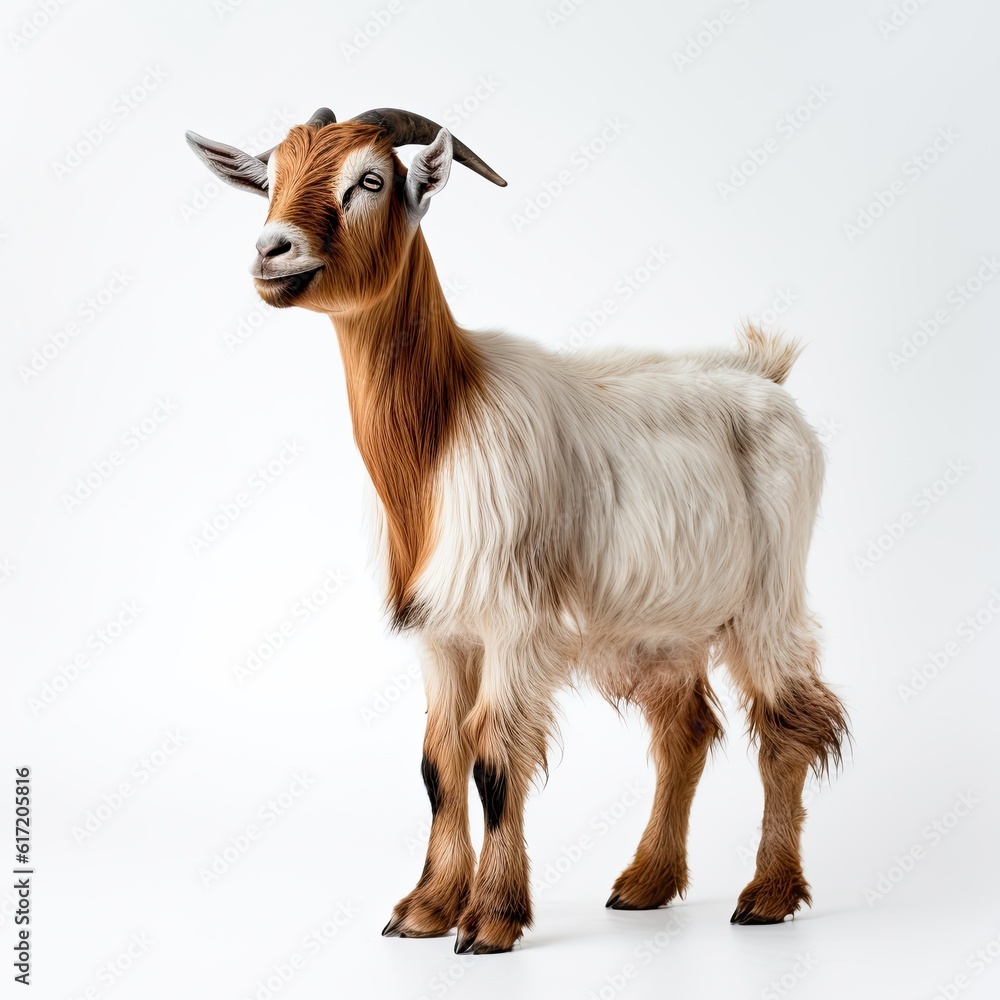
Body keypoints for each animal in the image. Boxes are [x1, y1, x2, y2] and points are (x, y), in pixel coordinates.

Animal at [187, 106, 848, 954]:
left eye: (370, 180)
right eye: (269, 177)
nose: (271, 250)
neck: (442, 432)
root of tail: (766, 375)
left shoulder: (513, 620)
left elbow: (495, 762)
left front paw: (491, 919)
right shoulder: (440, 633)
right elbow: (439, 762)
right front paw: (425, 909)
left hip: (768, 593)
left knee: (789, 724)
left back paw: (767, 894)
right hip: (660, 624)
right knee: (686, 731)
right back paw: (646, 883)